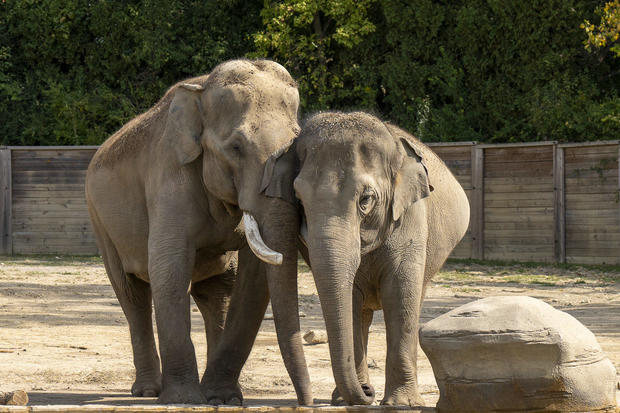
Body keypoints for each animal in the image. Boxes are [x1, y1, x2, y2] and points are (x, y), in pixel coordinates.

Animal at [85, 59, 312, 404]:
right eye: (236, 147)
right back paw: (148, 391)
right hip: (101, 223)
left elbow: (254, 278)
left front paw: (223, 399)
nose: (306, 402)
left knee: (218, 293)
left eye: (296, 148)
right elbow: (170, 268)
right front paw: (183, 399)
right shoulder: (170, 176)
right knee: (132, 294)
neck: (202, 92)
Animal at [266, 112, 470, 406]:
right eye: (300, 200)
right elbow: (349, 298)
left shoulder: (411, 217)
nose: (368, 393)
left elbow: (400, 295)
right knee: (362, 313)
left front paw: (402, 404)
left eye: (366, 199)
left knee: (414, 300)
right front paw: (346, 400)